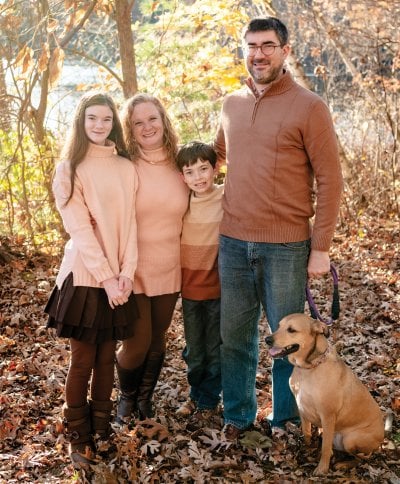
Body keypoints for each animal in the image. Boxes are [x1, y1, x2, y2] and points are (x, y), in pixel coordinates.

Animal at [266, 314, 384, 476]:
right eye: (278, 326)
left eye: (291, 330)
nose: (267, 340)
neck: (309, 368)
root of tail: (382, 437)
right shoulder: (302, 408)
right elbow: (307, 433)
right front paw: (307, 449)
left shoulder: (328, 415)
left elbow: (325, 448)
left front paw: (322, 468)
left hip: (351, 439)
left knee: (362, 458)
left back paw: (344, 464)